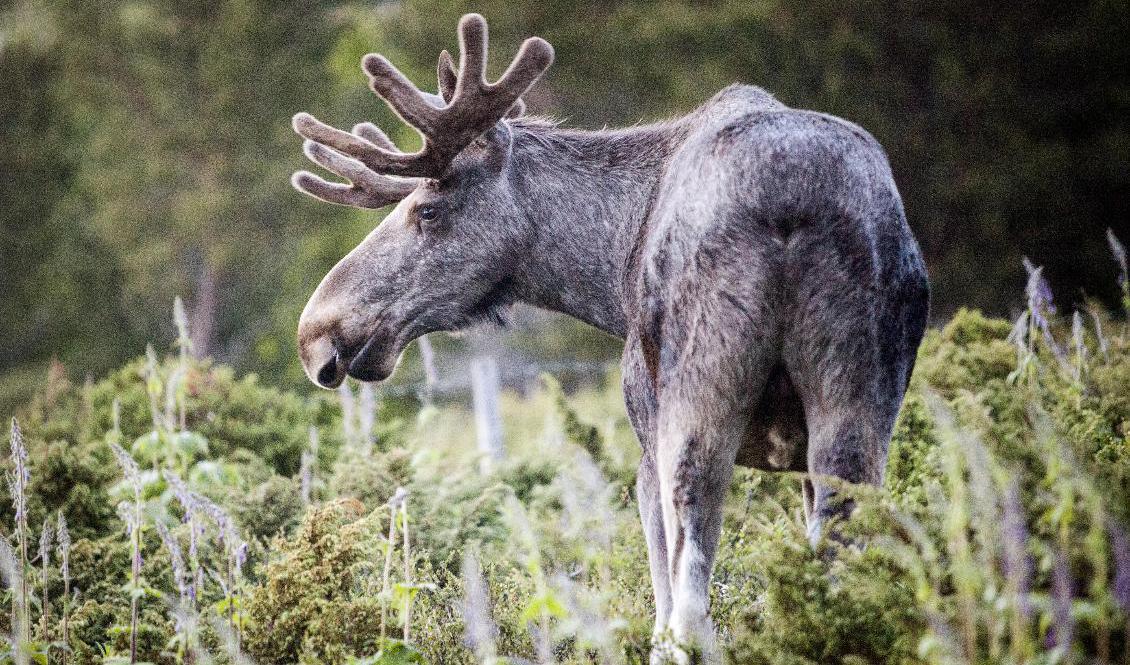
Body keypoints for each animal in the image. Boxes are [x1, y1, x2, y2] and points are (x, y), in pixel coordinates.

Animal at [289, 13, 926, 660]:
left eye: (428, 210)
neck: (610, 270)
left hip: (693, 403)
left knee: (688, 607)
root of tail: (794, 201)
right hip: (856, 407)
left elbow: (661, 599)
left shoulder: (644, 440)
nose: (316, 332)